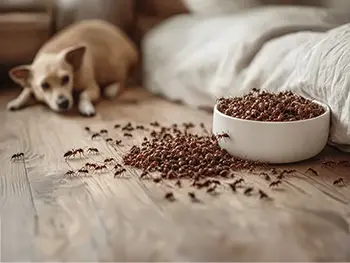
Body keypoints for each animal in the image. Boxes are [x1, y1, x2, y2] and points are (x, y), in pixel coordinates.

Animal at [6, 19, 138, 116]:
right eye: (44, 85)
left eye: (66, 79)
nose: (63, 103)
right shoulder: (30, 84)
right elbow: (26, 91)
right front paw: (17, 101)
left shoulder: (93, 88)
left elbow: (83, 94)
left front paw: (86, 107)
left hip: (112, 67)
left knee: (123, 79)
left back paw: (112, 88)